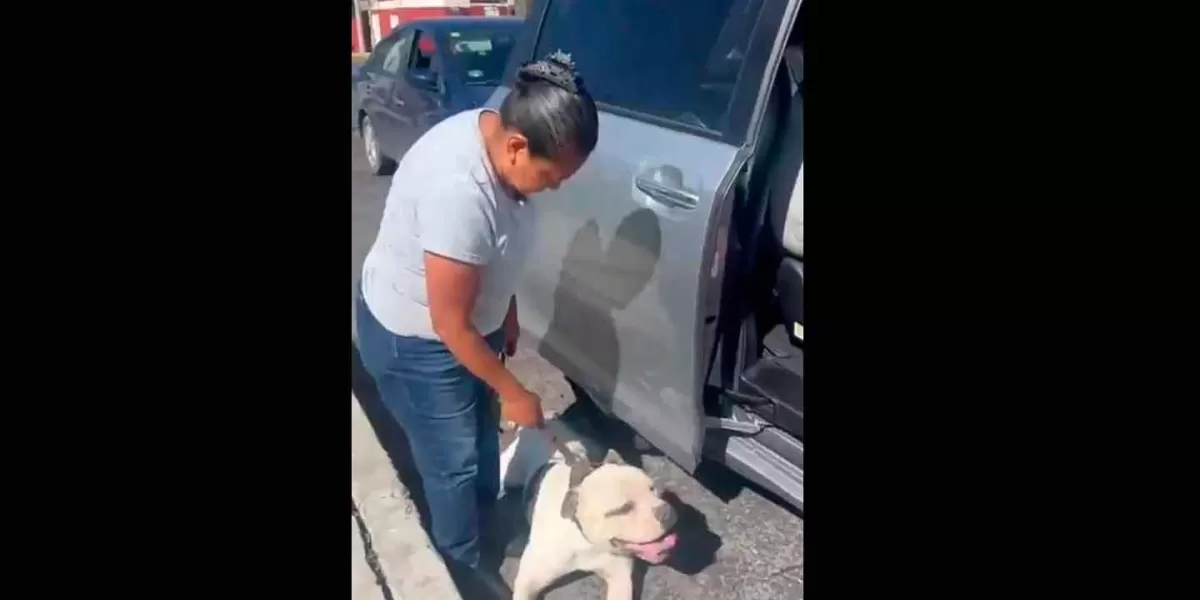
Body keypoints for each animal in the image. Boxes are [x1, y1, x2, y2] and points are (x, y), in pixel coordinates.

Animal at [499, 424, 681, 597]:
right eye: (623, 509)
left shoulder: (620, 578)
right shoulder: (529, 578)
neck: (587, 542)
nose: (666, 511)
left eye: (652, 489)